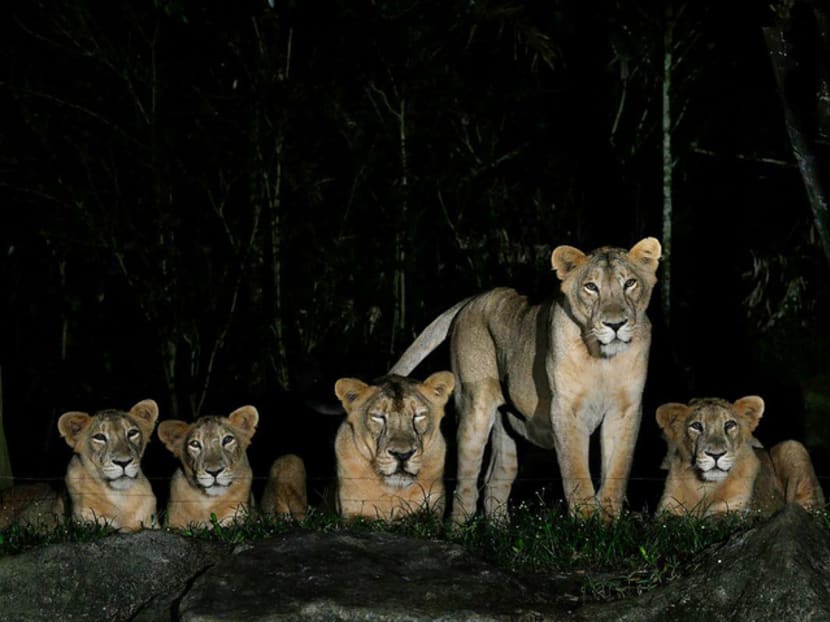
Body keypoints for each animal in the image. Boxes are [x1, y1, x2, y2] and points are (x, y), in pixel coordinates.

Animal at [334, 370, 458, 520]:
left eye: (418, 415)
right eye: (378, 417)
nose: (402, 455)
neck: (392, 492)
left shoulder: (431, 508)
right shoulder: (353, 512)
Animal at [656, 400, 824, 516]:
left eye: (729, 424)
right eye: (696, 426)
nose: (716, 455)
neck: (705, 486)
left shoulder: (731, 511)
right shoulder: (666, 511)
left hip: (792, 446)